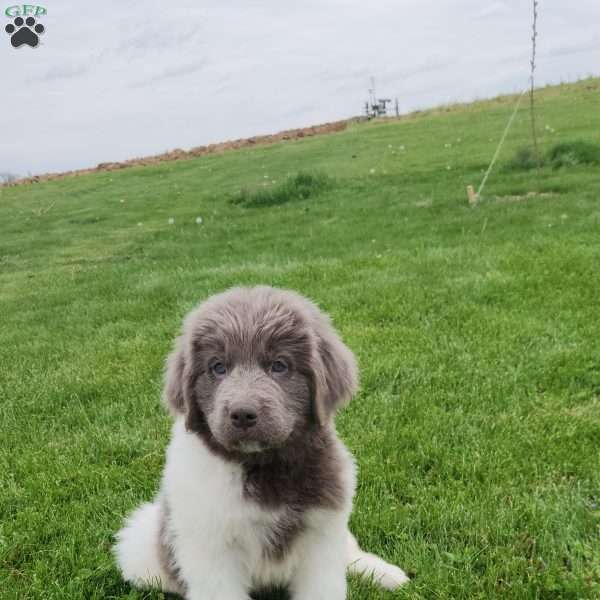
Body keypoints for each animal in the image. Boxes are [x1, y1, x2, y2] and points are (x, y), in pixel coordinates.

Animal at [115, 286, 410, 600]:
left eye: (279, 366)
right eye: (217, 367)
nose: (243, 414)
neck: (263, 465)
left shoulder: (321, 533)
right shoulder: (213, 550)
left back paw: (387, 574)